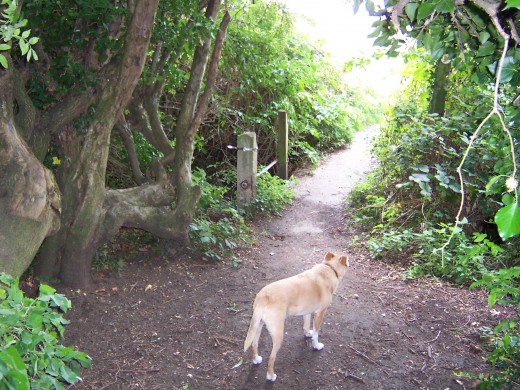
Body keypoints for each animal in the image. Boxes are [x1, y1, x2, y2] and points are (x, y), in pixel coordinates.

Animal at [244, 251, 350, 382]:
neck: (329, 268)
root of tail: (264, 296)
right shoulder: (320, 313)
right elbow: (316, 334)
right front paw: (316, 346)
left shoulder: (307, 312)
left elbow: (306, 326)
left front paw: (307, 334)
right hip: (278, 336)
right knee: (271, 358)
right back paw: (271, 376)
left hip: (258, 326)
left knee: (254, 345)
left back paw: (256, 359)